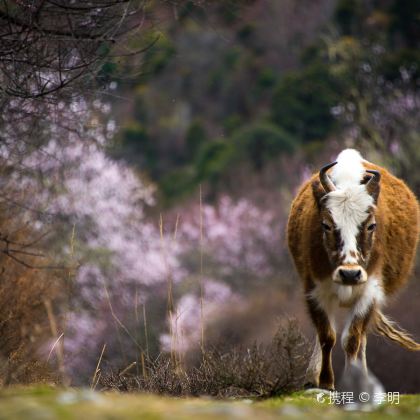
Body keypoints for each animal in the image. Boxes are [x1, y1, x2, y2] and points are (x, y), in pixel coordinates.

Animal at [288, 148, 420, 390]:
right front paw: (324, 381)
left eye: (371, 225)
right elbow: (326, 335)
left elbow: (352, 339)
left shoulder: (370, 291)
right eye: (326, 225)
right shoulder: (315, 289)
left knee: (362, 337)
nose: (350, 273)